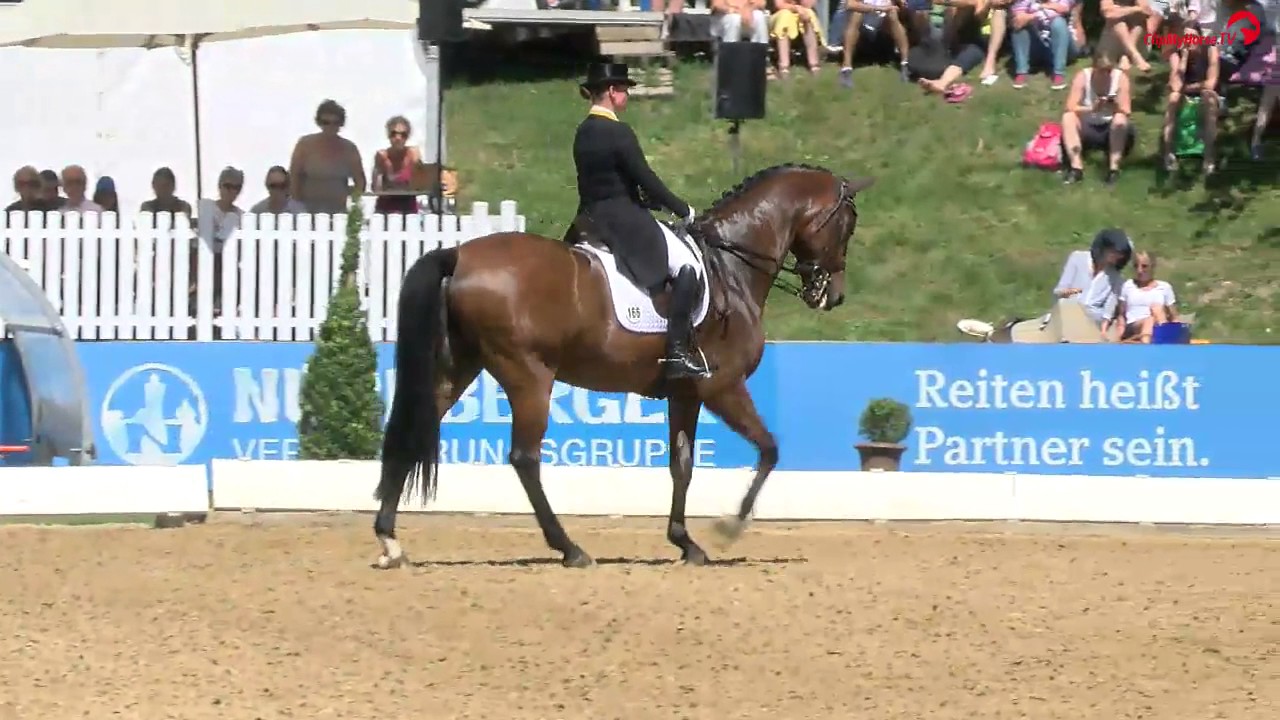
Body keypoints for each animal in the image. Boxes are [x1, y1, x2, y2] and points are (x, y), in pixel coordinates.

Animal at [372, 163, 874, 568]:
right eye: (848, 224)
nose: (832, 295)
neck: (731, 265)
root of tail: (458, 255)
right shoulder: (723, 387)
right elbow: (769, 450)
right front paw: (727, 528)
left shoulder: (685, 393)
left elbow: (682, 464)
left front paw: (685, 542)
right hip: (528, 375)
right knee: (524, 458)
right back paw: (570, 549)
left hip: (458, 367)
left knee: (413, 431)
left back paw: (390, 543)